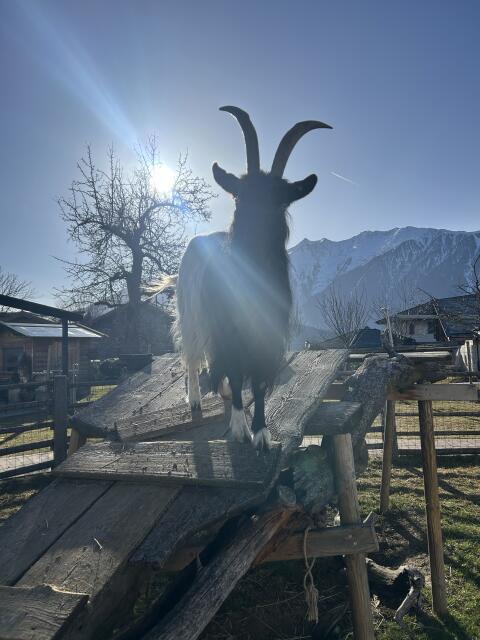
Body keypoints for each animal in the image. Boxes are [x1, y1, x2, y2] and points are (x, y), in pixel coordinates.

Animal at [172, 106, 331, 449]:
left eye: (280, 201)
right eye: (238, 197)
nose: (255, 235)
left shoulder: (266, 336)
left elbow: (257, 382)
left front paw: (261, 432)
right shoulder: (228, 331)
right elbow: (234, 371)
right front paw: (240, 428)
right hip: (190, 314)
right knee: (191, 356)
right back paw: (195, 398)